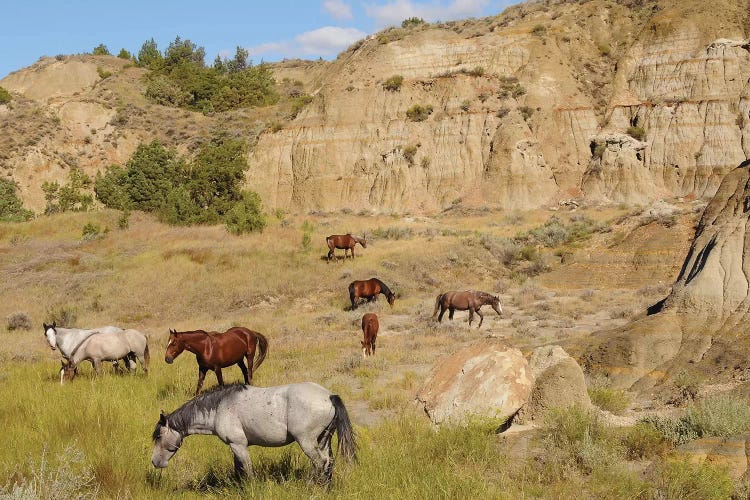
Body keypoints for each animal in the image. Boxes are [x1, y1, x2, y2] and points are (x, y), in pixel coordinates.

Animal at [153, 382, 358, 484]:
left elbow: (248, 470)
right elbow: (239, 470)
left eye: (159, 436)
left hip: (306, 441)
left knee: (319, 463)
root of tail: (329, 396)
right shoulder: (235, 446)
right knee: (328, 463)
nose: (154, 462)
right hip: (323, 439)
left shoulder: (239, 445)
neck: (220, 407)